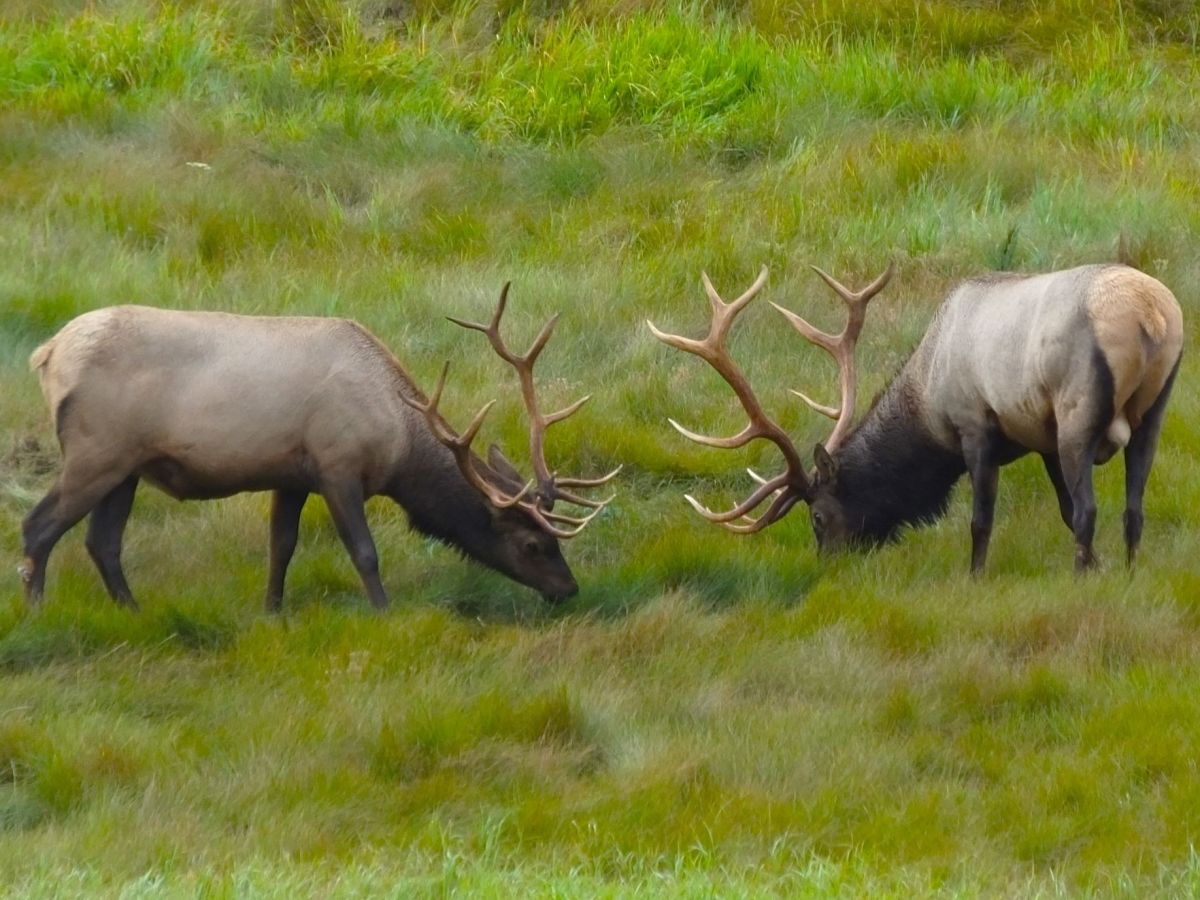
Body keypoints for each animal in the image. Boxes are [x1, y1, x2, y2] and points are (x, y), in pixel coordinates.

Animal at [20, 284, 618, 610]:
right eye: (534, 545)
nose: (569, 589)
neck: (398, 440)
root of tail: (47, 353)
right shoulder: (338, 465)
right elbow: (365, 552)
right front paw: (384, 612)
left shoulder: (291, 476)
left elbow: (280, 547)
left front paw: (272, 612)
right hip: (97, 451)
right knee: (38, 526)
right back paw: (36, 611)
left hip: (126, 466)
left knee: (102, 542)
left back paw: (135, 611)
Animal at [648, 262, 1182, 572]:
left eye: (818, 516)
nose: (828, 566)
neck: (926, 397)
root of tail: (1152, 315)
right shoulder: (1040, 436)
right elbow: (1065, 511)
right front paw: (1099, 567)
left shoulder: (975, 426)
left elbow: (983, 521)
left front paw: (975, 578)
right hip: (1154, 409)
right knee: (1133, 506)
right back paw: (1130, 572)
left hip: (1077, 408)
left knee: (1094, 507)